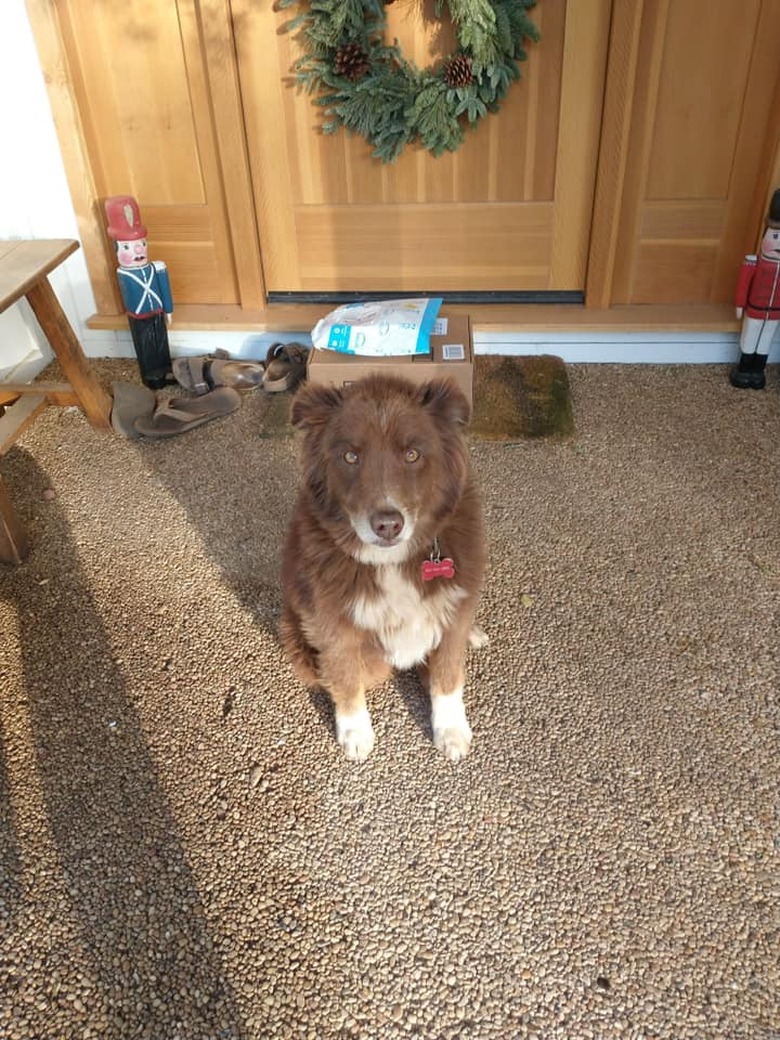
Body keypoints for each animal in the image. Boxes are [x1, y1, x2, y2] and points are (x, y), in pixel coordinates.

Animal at [280, 370, 488, 761]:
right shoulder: (333, 625)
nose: (388, 525)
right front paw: (355, 732)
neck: (391, 561)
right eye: (350, 456)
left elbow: (447, 676)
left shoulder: (450, 618)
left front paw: (451, 729)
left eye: (412, 454)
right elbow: (345, 677)